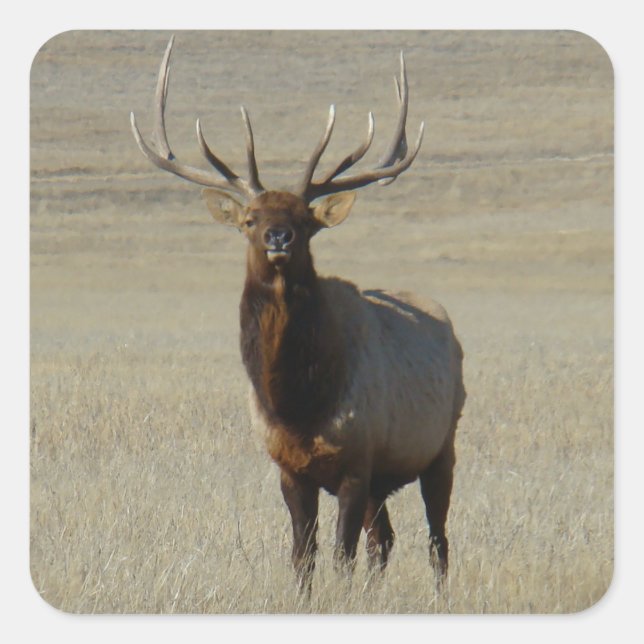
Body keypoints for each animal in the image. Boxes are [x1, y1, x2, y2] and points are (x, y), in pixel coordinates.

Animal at [130, 36, 466, 594]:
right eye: (250, 218)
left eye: (306, 220)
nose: (279, 236)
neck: (298, 403)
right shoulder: (289, 467)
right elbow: (301, 556)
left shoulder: (356, 461)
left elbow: (341, 556)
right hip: (385, 478)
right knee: (384, 540)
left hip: (442, 445)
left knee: (436, 540)